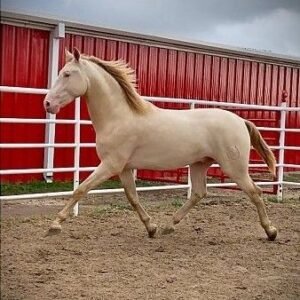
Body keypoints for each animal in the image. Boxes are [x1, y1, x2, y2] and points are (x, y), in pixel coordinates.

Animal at [43, 49, 278, 241]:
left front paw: (54, 225)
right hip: (200, 164)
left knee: (255, 192)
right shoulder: (124, 168)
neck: (119, 117)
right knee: (198, 193)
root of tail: (240, 121)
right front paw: (151, 227)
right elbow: (133, 198)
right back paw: (168, 226)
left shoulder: (110, 165)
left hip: (234, 168)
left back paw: (271, 232)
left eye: (67, 74)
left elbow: (80, 189)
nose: (47, 103)